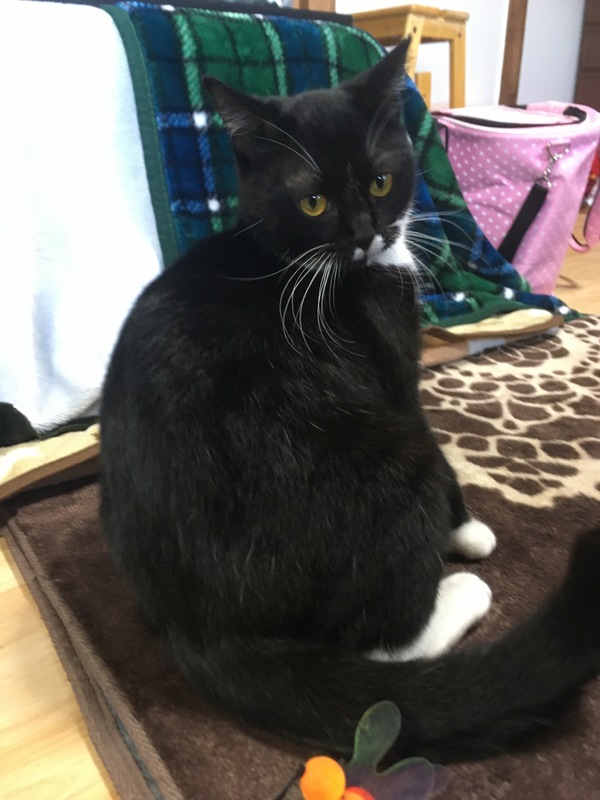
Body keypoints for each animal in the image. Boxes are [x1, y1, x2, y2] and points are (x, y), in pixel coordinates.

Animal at [100, 41, 600, 763]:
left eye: (382, 183)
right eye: (312, 201)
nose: (367, 232)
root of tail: (202, 626)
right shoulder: (394, 376)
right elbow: (440, 457)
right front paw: (467, 528)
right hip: (389, 460)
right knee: (382, 647)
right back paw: (458, 592)